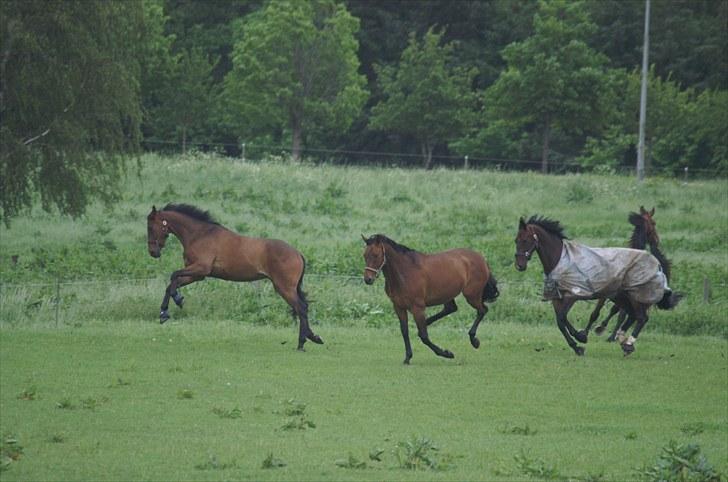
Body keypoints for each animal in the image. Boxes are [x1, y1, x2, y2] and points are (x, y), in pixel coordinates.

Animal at [146, 203, 322, 350]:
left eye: (150, 227)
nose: (153, 253)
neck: (200, 235)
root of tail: (298, 254)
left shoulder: (200, 269)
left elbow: (173, 276)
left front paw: (175, 303)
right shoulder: (197, 275)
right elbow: (172, 283)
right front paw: (165, 311)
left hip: (284, 288)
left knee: (301, 308)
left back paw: (302, 343)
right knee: (302, 308)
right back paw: (313, 337)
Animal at [362, 234, 498, 366]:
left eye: (376, 255)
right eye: (364, 255)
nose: (368, 279)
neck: (404, 273)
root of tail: (481, 258)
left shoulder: (417, 307)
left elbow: (424, 336)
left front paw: (447, 353)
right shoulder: (398, 307)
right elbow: (404, 331)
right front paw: (407, 358)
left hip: (471, 295)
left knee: (482, 310)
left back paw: (474, 340)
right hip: (448, 294)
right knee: (451, 308)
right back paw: (429, 322)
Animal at [516, 217, 680, 356]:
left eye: (525, 240)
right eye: (516, 240)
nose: (519, 266)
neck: (561, 259)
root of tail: (657, 265)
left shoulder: (572, 296)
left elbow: (562, 318)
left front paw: (580, 341)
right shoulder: (557, 297)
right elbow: (560, 322)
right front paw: (579, 342)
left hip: (636, 296)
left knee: (642, 318)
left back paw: (628, 344)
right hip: (621, 297)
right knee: (632, 315)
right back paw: (621, 340)